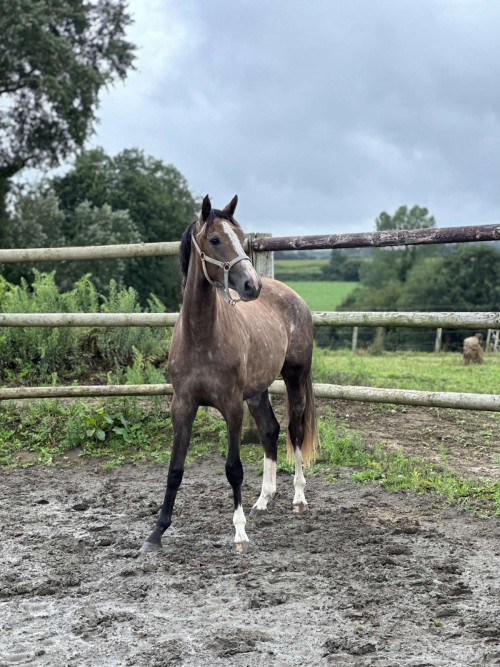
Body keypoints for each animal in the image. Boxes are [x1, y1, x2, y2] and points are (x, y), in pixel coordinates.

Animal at [140, 195, 319, 553]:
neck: (201, 336)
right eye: (214, 239)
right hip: (257, 391)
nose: (252, 285)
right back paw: (263, 500)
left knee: (294, 430)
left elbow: (233, 468)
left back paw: (298, 498)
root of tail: (293, 297)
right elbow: (175, 469)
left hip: (294, 377)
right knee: (269, 430)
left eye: (239, 234)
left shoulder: (231, 406)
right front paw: (156, 533)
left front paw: (239, 532)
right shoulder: (182, 405)